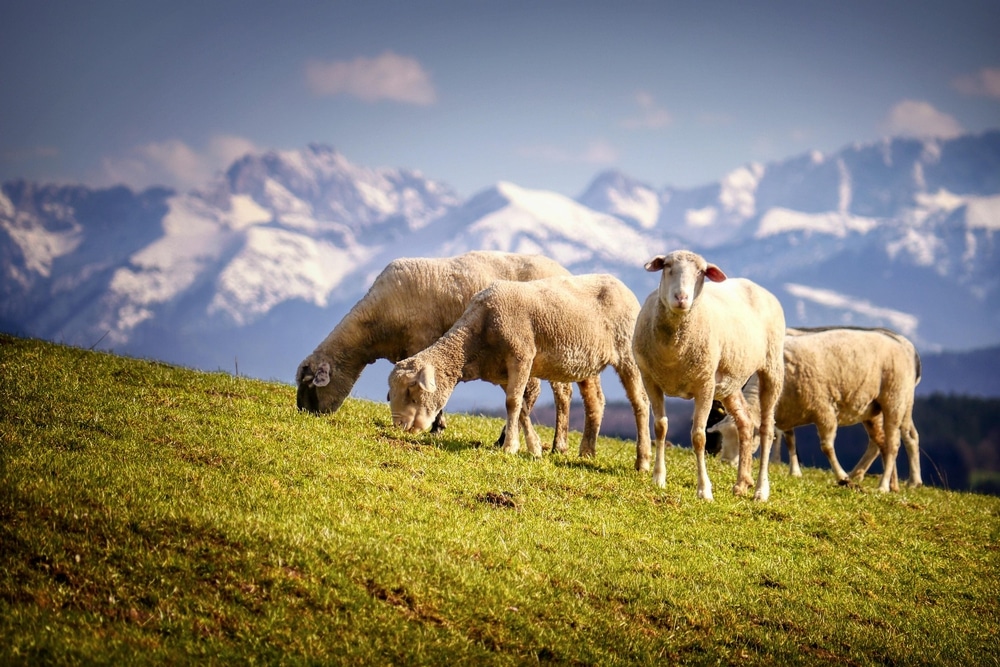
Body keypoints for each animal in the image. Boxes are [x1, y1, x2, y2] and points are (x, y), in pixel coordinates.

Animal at [296, 251, 597, 452]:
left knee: (560, 394)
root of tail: (566, 271)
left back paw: (556, 444)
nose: (304, 414)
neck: (374, 326)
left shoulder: (422, 340)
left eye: (310, 384)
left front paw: (437, 427)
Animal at [387, 273, 651, 465]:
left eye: (413, 391)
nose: (400, 427)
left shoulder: (521, 356)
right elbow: (520, 405)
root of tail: (621, 285)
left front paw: (510, 447)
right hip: (587, 361)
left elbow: (513, 403)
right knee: (595, 401)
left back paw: (643, 461)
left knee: (640, 402)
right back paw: (587, 451)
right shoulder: (503, 371)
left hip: (627, 353)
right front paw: (534, 448)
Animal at [632, 250, 785, 501]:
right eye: (667, 266)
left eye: (701, 272)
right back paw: (741, 483)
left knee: (766, 429)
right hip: (729, 382)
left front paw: (704, 490)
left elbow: (699, 437)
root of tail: (756, 286)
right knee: (745, 422)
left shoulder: (704, 385)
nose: (681, 298)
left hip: (772, 368)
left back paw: (761, 490)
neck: (674, 350)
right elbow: (660, 427)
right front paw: (658, 479)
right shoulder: (650, 379)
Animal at [708, 326, 922, 492]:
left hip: (895, 400)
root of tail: (901, 344)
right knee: (881, 442)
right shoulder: (785, 412)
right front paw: (795, 471)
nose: (725, 462)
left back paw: (886, 485)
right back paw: (889, 483)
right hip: (872, 408)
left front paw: (841, 476)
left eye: (741, 439)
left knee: (896, 443)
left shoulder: (824, 409)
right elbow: (790, 441)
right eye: (723, 437)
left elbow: (826, 446)